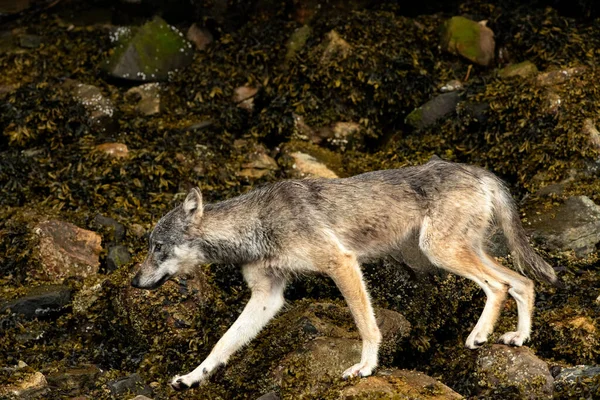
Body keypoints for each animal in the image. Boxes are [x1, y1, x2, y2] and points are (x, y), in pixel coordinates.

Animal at [131, 156, 556, 390]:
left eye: (157, 247)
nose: (134, 282)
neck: (255, 225)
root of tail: (480, 172)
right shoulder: (268, 297)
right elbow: (222, 344)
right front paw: (191, 378)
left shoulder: (342, 264)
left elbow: (367, 326)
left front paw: (366, 367)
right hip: (458, 252)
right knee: (524, 282)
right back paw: (518, 337)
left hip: (440, 253)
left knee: (500, 285)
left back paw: (480, 336)